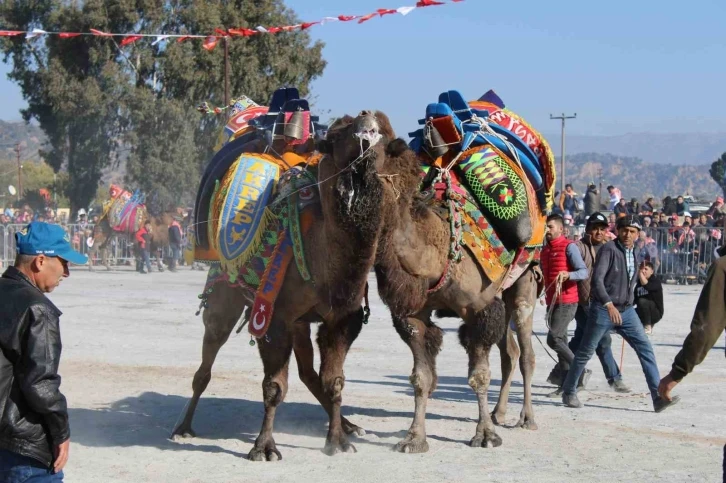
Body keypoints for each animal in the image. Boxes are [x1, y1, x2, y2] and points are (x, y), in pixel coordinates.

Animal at [171, 110, 396, 462]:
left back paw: (349, 426)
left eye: (386, 133)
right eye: (338, 131)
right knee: (206, 363)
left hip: (300, 323)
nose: (366, 116)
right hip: (225, 295)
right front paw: (263, 447)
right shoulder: (273, 316)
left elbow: (334, 382)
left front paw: (337, 441)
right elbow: (274, 387)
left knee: (309, 374)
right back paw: (183, 427)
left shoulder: (343, 319)